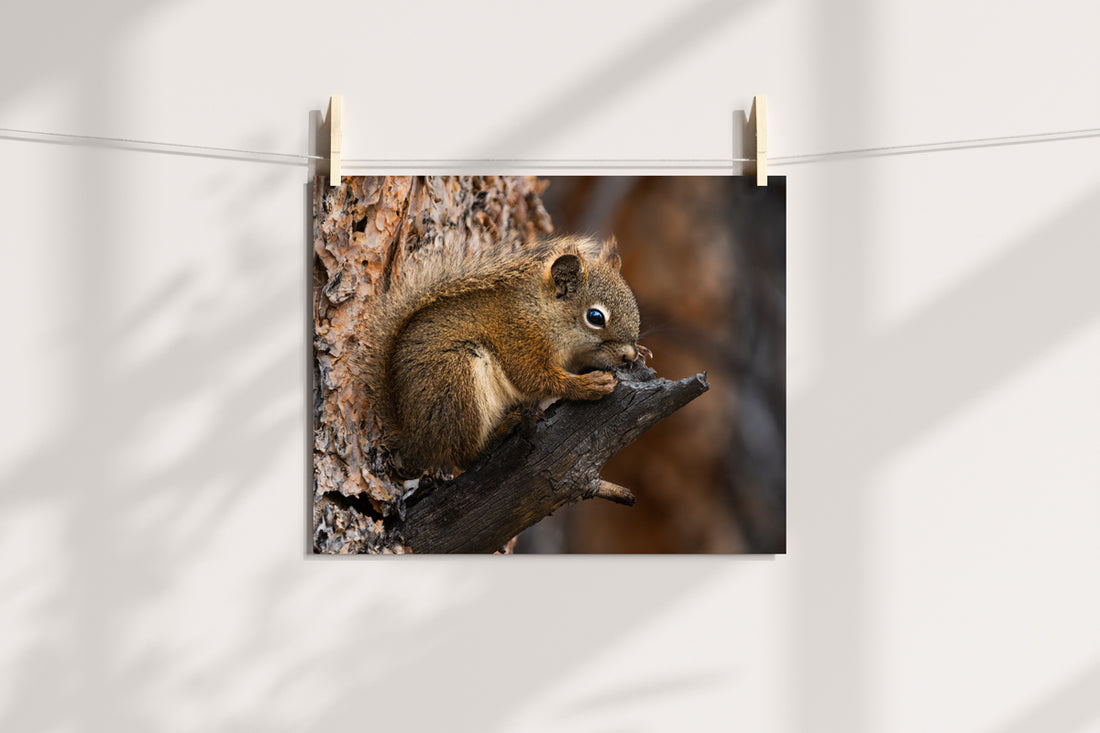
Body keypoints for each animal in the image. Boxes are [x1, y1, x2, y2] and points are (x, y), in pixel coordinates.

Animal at [359, 235, 648, 476]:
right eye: (595, 317)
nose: (628, 354)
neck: (542, 312)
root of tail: (416, 440)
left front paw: (641, 354)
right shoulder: (519, 339)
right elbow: (532, 378)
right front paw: (589, 385)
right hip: (456, 381)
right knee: (465, 456)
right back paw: (502, 430)